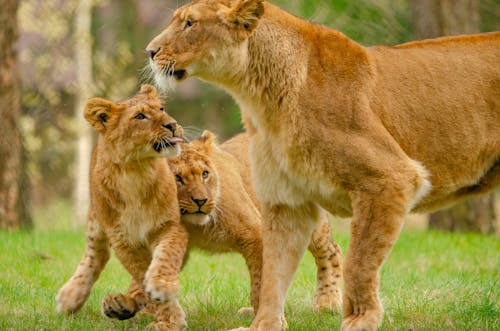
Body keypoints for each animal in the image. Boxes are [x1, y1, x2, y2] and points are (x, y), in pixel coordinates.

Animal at [146, 1, 500, 330]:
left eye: (190, 23)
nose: (150, 51)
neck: (260, 95)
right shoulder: (287, 201)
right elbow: (273, 274)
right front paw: (263, 324)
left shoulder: (390, 178)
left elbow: (360, 261)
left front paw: (359, 320)